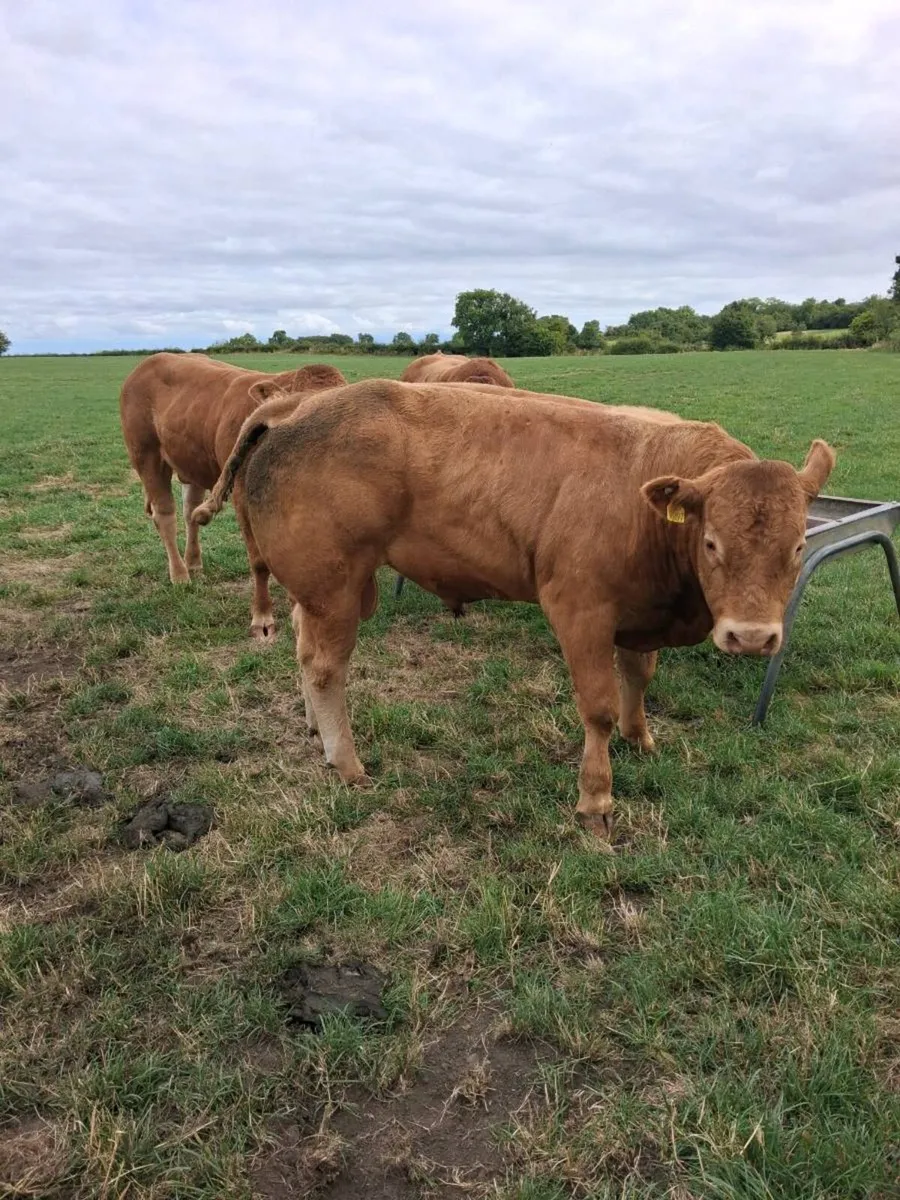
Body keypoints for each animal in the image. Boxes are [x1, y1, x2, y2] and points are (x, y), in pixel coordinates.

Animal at [119, 352, 346, 639]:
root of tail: (148, 362)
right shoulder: (241, 500)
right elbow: (259, 562)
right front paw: (262, 618)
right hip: (147, 457)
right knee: (165, 516)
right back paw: (180, 576)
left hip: (191, 464)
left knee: (190, 512)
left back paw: (194, 563)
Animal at [194, 379, 835, 836]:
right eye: (711, 543)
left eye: (799, 546)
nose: (751, 637)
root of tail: (298, 404)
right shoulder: (580, 611)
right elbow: (598, 708)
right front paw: (596, 799)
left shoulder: (637, 616)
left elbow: (639, 677)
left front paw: (641, 738)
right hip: (335, 586)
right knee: (326, 667)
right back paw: (348, 763)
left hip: (321, 590)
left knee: (304, 648)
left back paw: (313, 728)